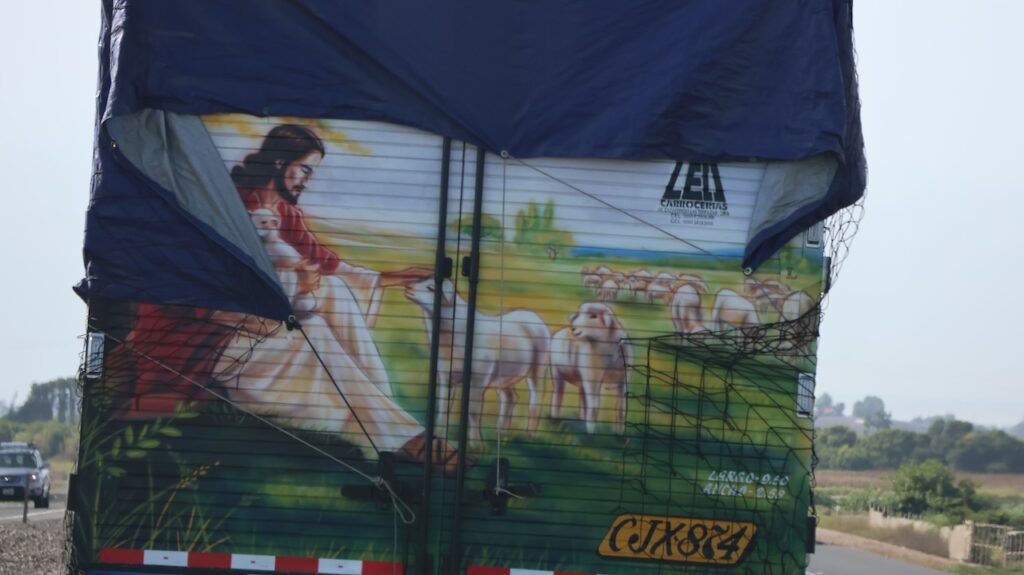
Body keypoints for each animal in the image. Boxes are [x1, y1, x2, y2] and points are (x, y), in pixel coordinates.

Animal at [404, 279, 551, 444]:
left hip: (538, 367)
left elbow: (473, 411)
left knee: (536, 399)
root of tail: (531, 314)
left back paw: (529, 436)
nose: (408, 286)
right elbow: (444, 408)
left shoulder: (478, 378)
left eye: (431, 288)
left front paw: (476, 444)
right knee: (510, 398)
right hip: (505, 375)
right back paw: (501, 434)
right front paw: (439, 436)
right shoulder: (446, 377)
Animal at [550, 302, 632, 435]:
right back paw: (555, 420)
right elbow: (594, 408)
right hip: (558, 372)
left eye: (594, 316)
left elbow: (621, 409)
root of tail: (560, 331)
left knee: (583, 399)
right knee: (558, 394)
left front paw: (620, 435)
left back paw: (581, 420)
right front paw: (590, 435)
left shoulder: (623, 381)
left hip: (583, 379)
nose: (573, 328)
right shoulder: (593, 379)